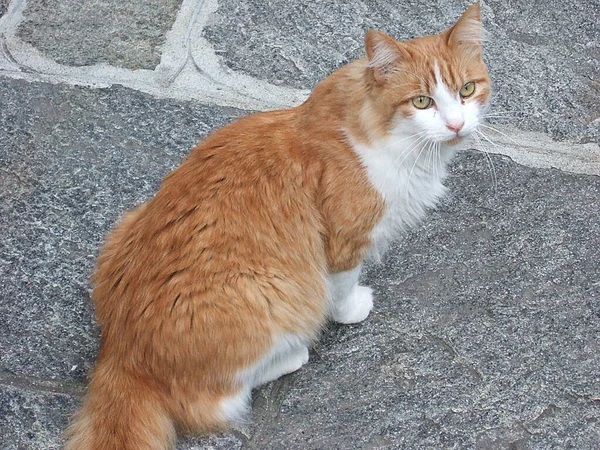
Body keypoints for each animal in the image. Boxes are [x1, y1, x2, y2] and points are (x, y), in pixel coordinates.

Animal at [65, 4, 490, 450]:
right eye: (422, 102)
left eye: (466, 90)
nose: (456, 125)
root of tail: (120, 352)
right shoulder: (343, 240)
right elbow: (342, 289)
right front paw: (352, 308)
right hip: (268, 292)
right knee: (215, 401)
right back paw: (292, 355)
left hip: (126, 223)